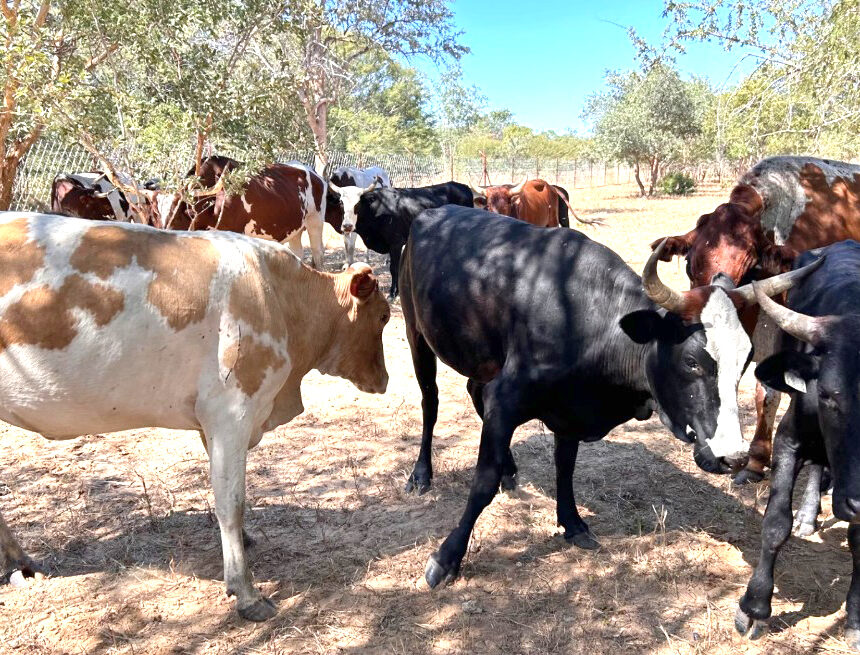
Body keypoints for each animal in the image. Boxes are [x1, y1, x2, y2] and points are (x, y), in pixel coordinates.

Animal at [0, 212, 390, 621]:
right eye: (383, 316)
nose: (384, 380)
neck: (281, 297)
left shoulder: (212, 422)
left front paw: (244, 542)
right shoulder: (232, 412)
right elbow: (231, 502)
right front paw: (246, 592)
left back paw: (18, 563)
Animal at [399, 205, 819, 588]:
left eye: (746, 359)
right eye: (691, 361)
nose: (733, 457)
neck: (587, 320)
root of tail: (430, 213)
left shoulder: (567, 409)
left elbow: (565, 466)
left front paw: (571, 523)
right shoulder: (507, 398)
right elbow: (482, 483)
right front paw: (446, 558)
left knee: (474, 391)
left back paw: (509, 470)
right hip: (415, 331)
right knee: (430, 402)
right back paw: (421, 475)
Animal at [736, 241, 860, 649]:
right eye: (828, 395)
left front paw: (855, 619)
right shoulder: (789, 440)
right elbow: (775, 524)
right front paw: (754, 608)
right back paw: (807, 515)